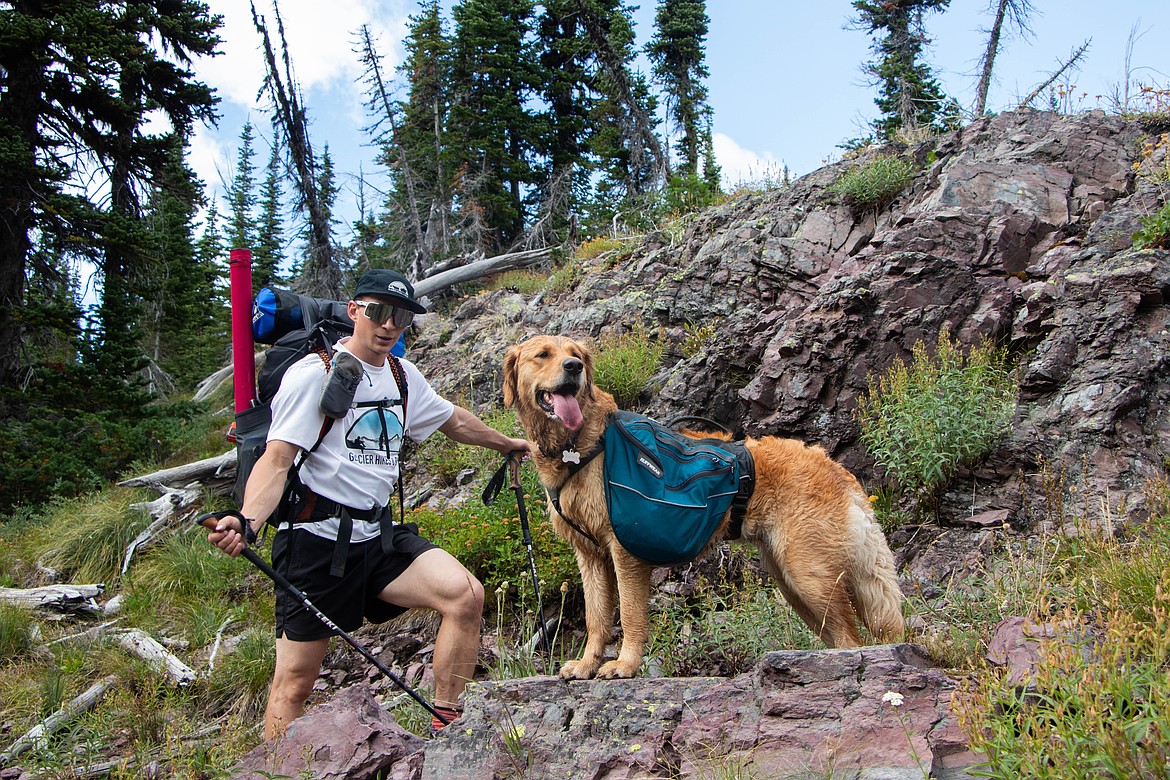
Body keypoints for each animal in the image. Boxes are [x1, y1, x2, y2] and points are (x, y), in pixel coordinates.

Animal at [503, 336, 903, 682]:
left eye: (575, 355)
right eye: (543, 354)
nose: (573, 368)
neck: (580, 447)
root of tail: (835, 467)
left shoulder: (623, 552)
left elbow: (630, 615)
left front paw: (625, 665)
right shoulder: (589, 555)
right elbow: (597, 618)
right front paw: (587, 664)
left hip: (809, 574)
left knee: (851, 640)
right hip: (793, 582)